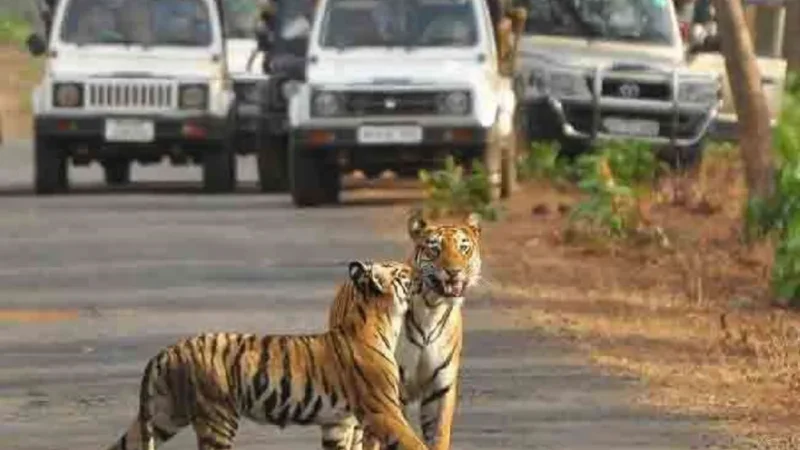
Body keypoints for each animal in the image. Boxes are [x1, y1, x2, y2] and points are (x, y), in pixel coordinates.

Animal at [107, 260, 434, 450]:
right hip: (217, 417)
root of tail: (168, 351)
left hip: (164, 414)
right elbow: (416, 443)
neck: (380, 320)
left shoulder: (338, 423)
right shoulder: (384, 410)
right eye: (404, 272)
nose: (423, 272)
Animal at [324, 210, 482, 450]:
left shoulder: (440, 388)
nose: (454, 272)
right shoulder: (393, 392)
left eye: (464, 248)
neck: (432, 308)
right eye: (434, 249)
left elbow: (439, 435)